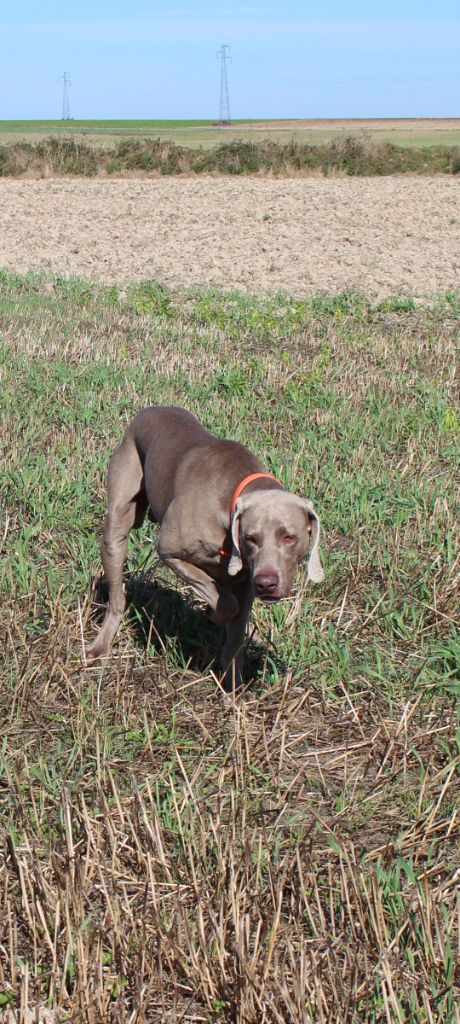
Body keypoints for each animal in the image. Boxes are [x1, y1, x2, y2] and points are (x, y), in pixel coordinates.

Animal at [86, 405, 323, 688]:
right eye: (250, 538)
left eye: (289, 537)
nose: (267, 584)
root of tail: (148, 410)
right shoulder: (169, 551)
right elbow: (226, 603)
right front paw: (216, 613)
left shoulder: (246, 581)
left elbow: (235, 631)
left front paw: (233, 684)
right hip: (118, 520)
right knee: (117, 596)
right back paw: (99, 646)